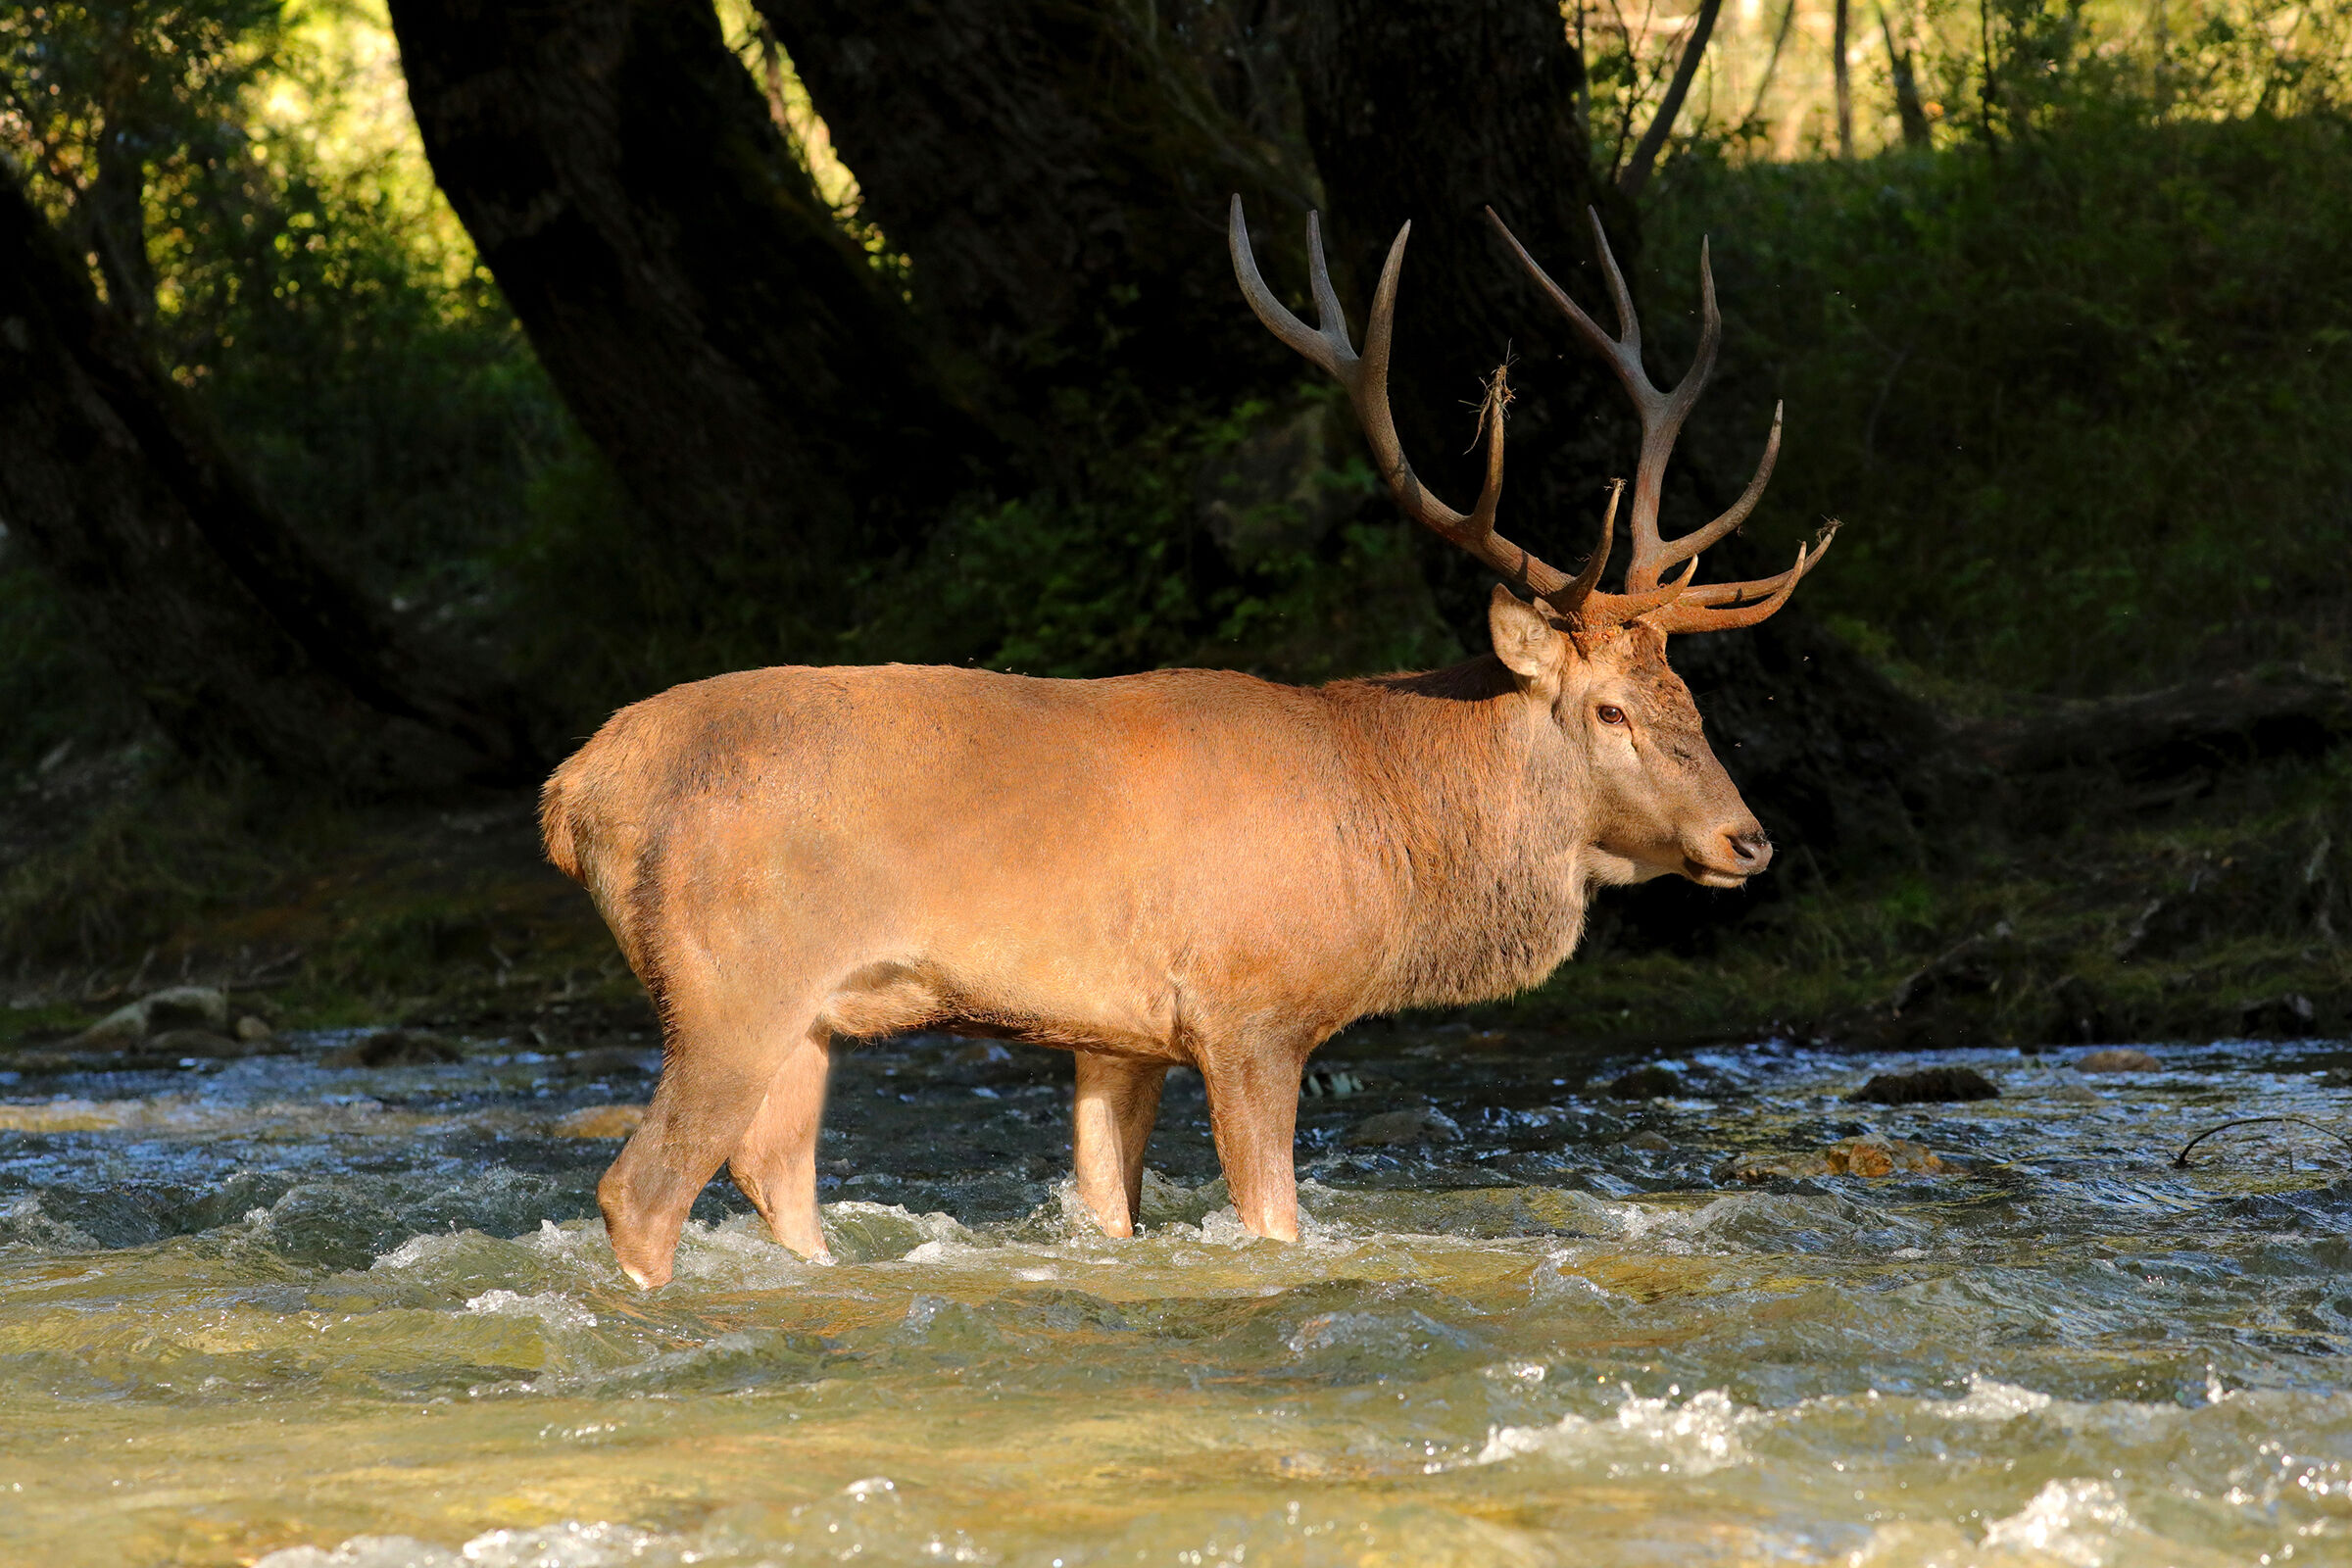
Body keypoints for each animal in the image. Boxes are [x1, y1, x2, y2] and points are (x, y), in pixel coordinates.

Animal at [540, 195, 1836, 1288]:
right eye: (1609, 709)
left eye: (1689, 696)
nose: (1750, 839)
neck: (1392, 824)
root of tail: (573, 791)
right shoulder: (1250, 1006)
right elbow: (1274, 1221)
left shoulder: (1116, 1033)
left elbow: (1109, 1210)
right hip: (727, 981)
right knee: (640, 1191)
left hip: (808, 1017)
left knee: (777, 1176)